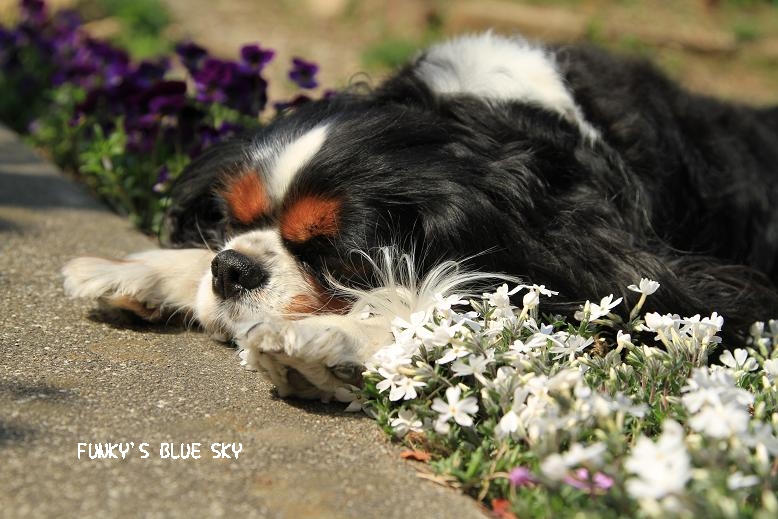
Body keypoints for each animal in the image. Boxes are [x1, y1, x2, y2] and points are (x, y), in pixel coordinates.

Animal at [62, 31, 776, 398]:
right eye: (230, 221)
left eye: (338, 255)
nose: (232, 270)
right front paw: (148, 271)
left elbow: (444, 311)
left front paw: (332, 337)